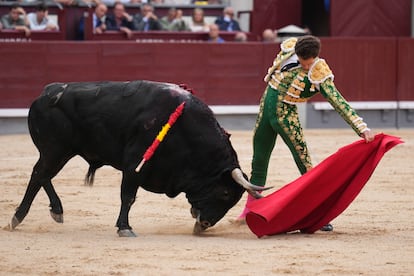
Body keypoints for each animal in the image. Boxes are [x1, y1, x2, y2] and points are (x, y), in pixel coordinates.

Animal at [9, 80, 268, 237]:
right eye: (224, 193)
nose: (204, 226)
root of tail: (46, 93)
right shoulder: (134, 164)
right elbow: (128, 197)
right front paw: (124, 228)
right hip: (55, 151)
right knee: (39, 175)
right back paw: (21, 217)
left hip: (57, 152)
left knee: (41, 176)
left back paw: (50, 212)